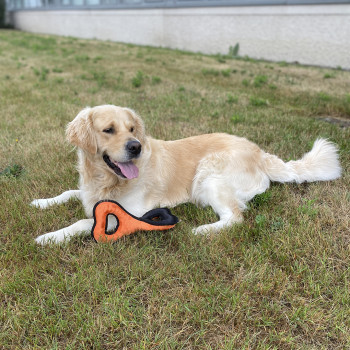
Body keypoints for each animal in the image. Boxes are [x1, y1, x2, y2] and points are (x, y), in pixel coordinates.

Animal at [32, 105, 340, 245]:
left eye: (131, 129)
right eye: (109, 130)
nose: (136, 146)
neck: (105, 179)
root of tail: (260, 152)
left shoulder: (128, 213)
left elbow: (85, 222)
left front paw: (50, 237)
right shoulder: (87, 191)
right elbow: (69, 192)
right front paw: (41, 202)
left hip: (208, 175)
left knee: (235, 217)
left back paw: (203, 230)